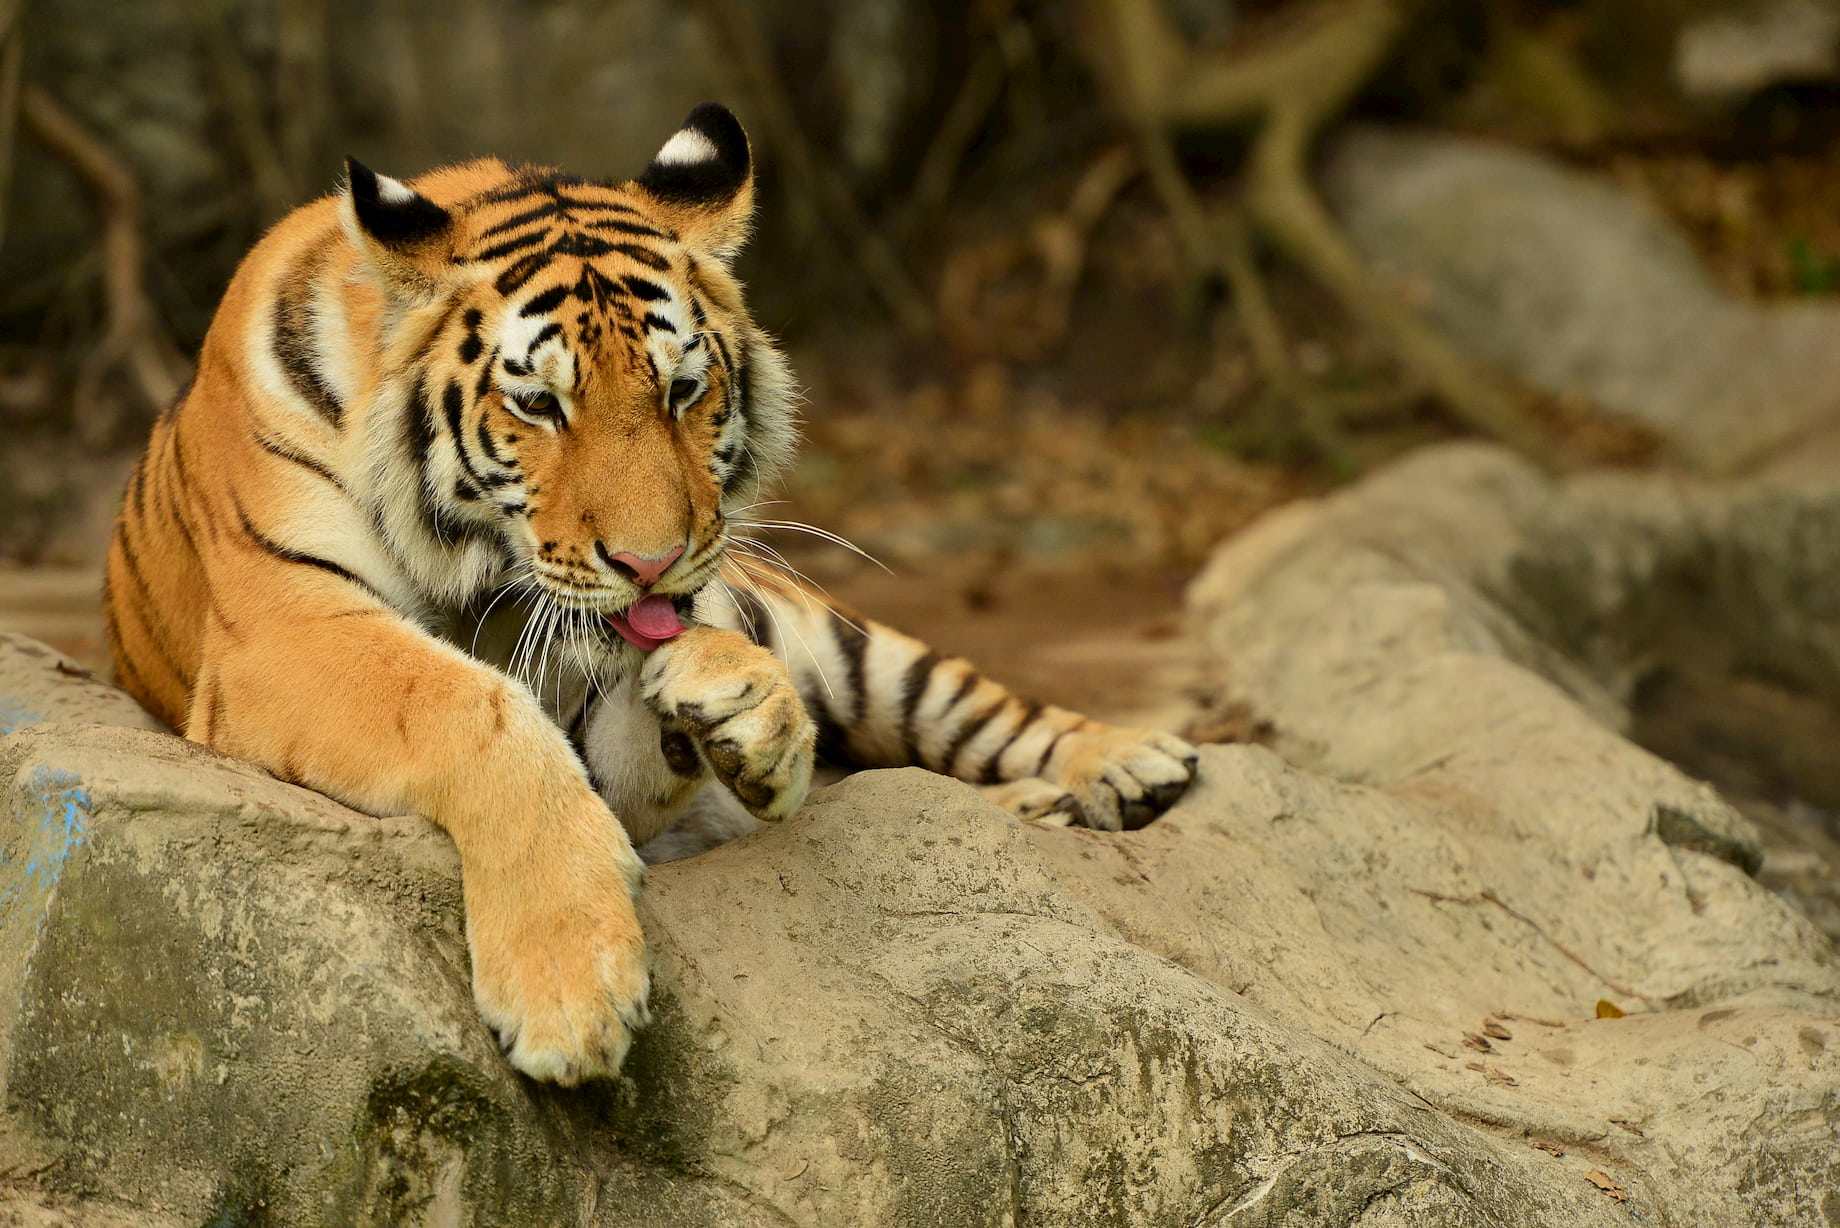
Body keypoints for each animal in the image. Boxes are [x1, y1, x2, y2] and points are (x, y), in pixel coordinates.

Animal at [107, 105, 1199, 1082]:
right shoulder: (285, 628)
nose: (652, 561)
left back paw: (1121, 764)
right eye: (538, 403)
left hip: (849, 645)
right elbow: (471, 708)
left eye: (681, 389)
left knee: (968, 704)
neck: (477, 578)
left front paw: (742, 712)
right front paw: (570, 992)